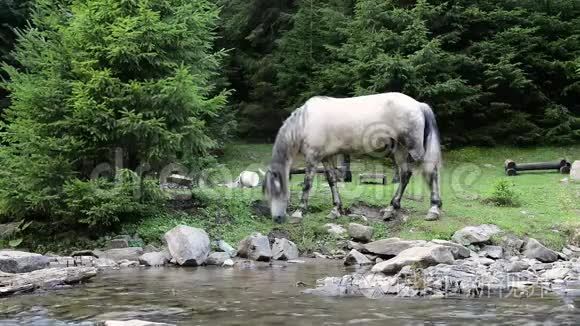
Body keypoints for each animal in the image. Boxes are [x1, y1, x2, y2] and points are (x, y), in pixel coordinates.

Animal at [264, 93, 444, 223]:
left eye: (275, 190)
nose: (277, 218)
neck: (305, 122)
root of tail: (418, 105)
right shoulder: (326, 157)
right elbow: (332, 181)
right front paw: (335, 210)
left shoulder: (313, 157)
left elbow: (307, 184)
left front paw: (299, 212)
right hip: (399, 150)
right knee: (405, 174)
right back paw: (391, 208)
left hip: (414, 149)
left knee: (430, 173)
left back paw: (433, 209)